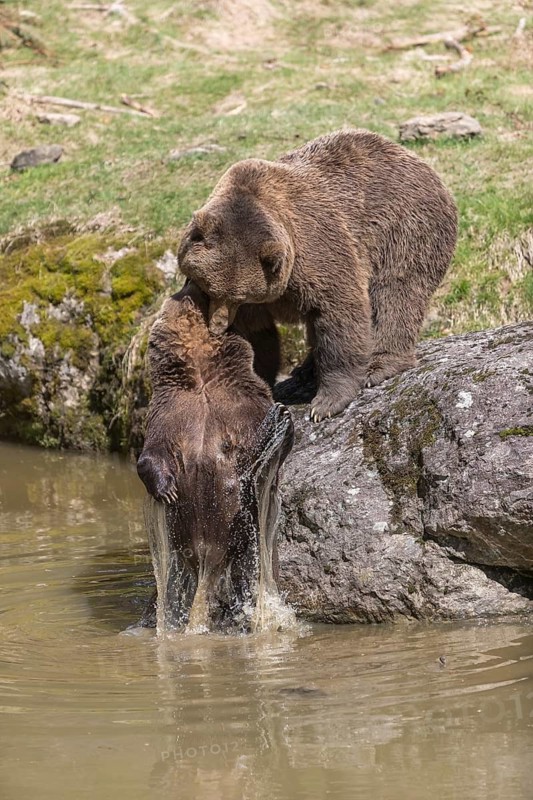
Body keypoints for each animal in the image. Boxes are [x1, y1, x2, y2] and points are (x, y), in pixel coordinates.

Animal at [136, 280, 294, 632]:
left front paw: (280, 422)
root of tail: (209, 559)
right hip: (181, 551)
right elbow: (150, 455)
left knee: (250, 575)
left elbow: (263, 446)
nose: (189, 282)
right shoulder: (169, 414)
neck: (201, 376)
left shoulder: (241, 406)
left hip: (245, 540)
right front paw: (168, 490)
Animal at [178, 128, 458, 422]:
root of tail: (419, 161)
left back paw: (380, 364)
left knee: (397, 294)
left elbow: (339, 312)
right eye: (209, 289)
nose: (218, 326)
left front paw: (325, 403)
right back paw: (306, 368)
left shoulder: (316, 250)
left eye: (237, 296)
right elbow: (259, 338)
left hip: (406, 229)